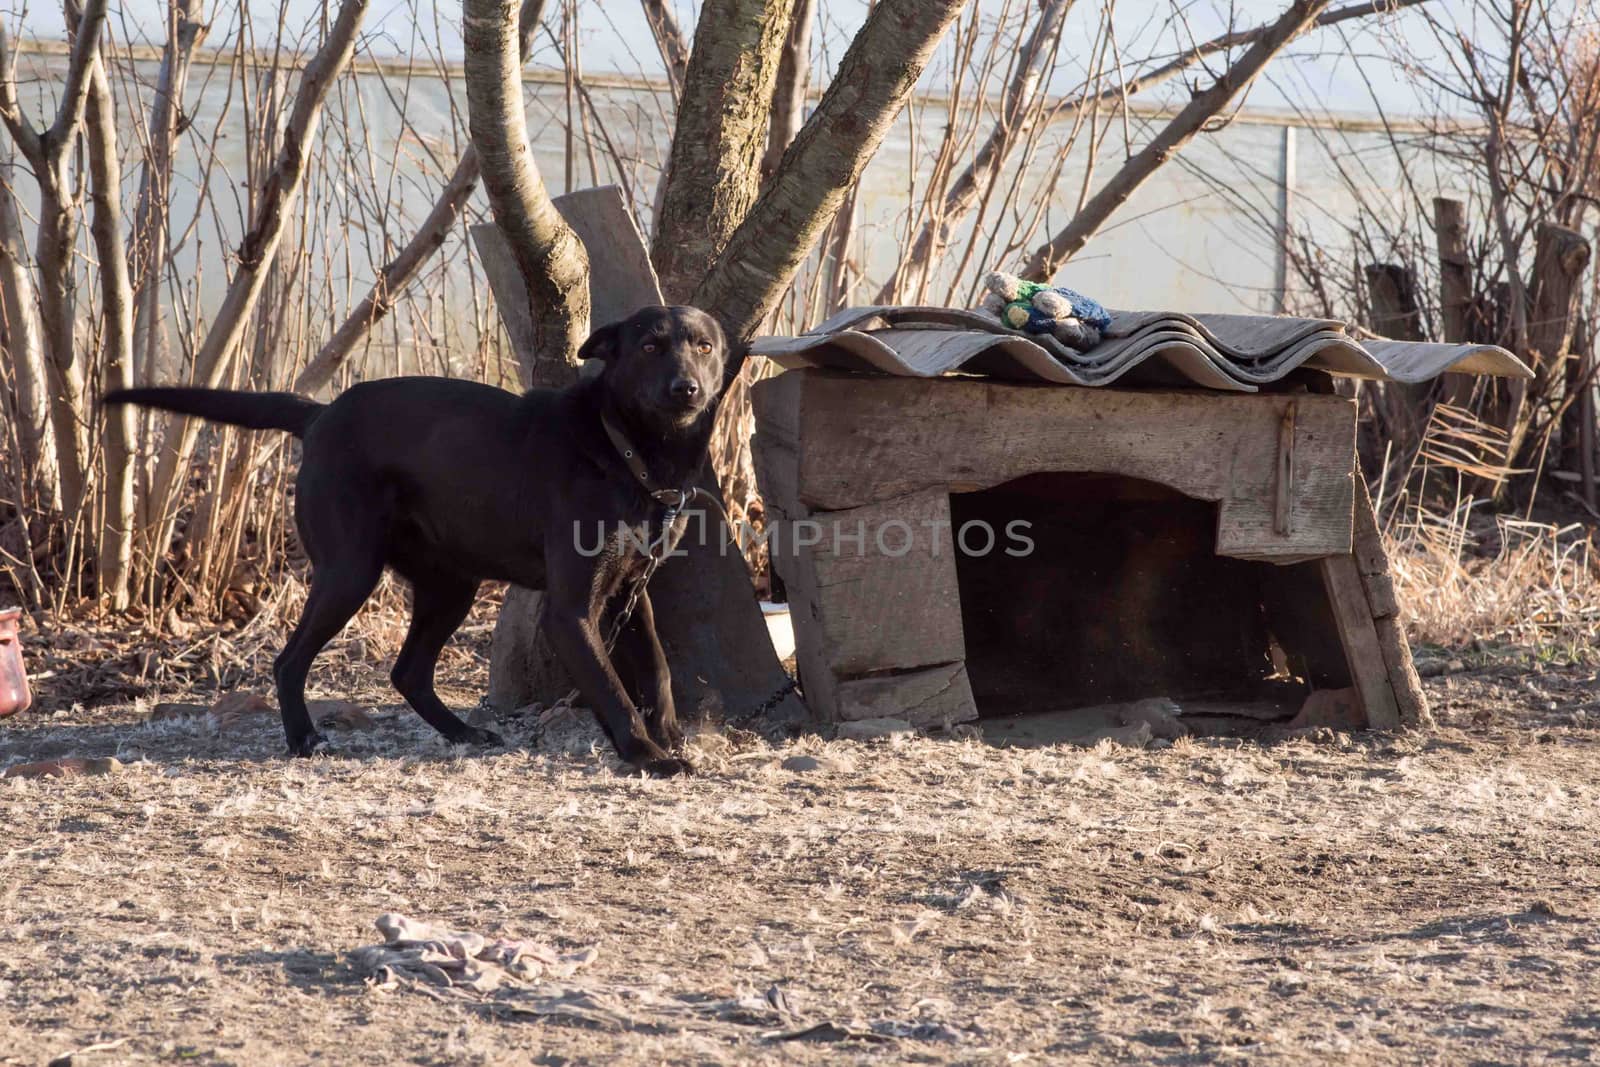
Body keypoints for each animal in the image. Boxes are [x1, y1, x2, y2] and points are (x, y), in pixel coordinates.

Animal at [112, 303, 732, 771]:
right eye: (649, 347)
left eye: (704, 347)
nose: (686, 388)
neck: (624, 452)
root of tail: (320, 414)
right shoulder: (571, 610)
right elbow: (612, 688)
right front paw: (649, 755)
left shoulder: (631, 588)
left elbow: (656, 668)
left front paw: (669, 734)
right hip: (350, 570)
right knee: (290, 660)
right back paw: (304, 739)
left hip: (450, 584)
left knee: (407, 671)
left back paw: (463, 734)